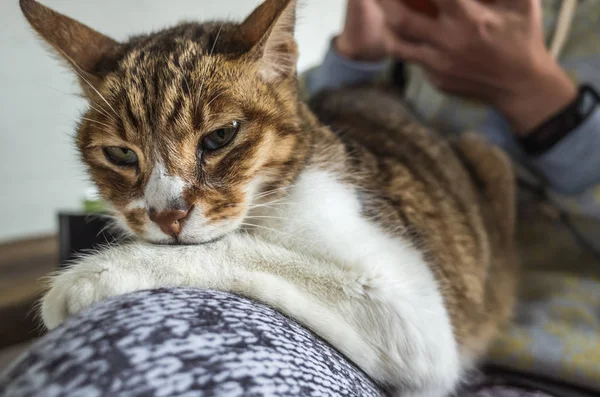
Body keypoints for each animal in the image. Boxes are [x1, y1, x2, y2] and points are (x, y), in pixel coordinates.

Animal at [21, 0, 516, 394]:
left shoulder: (410, 308)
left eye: (220, 137)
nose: (167, 216)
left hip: (487, 157)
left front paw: (96, 271)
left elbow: (238, 250)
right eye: (121, 154)